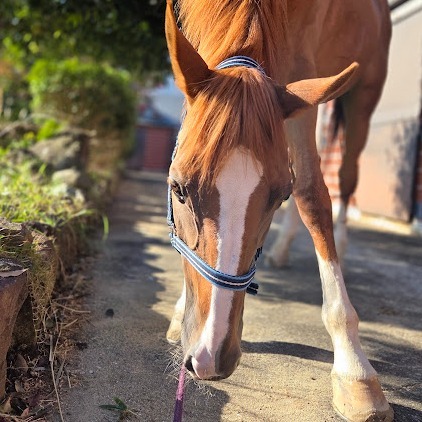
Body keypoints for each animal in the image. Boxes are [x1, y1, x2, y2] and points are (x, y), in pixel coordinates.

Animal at [164, 0, 392, 421]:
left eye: (278, 196)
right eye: (178, 189)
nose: (209, 357)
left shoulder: (301, 74)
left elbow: (312, 194)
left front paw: (354, 368)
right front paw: (178, 310)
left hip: (362, 93)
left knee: (346, 176)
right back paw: (283, 247)